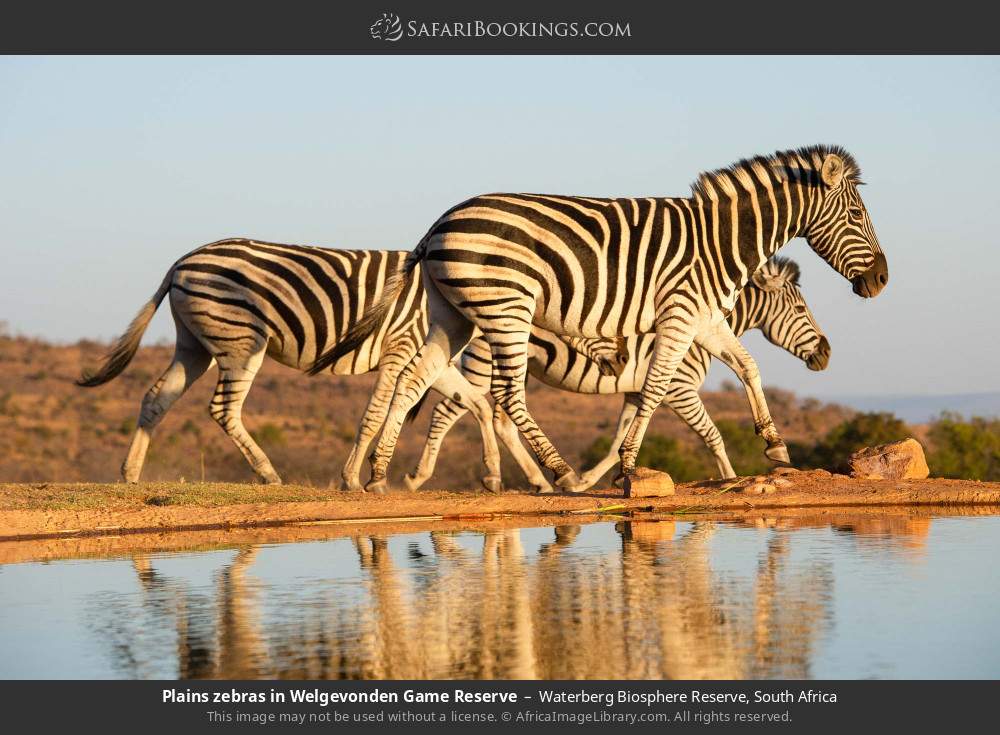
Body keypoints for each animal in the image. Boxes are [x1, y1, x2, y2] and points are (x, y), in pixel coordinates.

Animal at [405, 256, 829, 493]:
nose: (826, 354)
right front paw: (729, 477)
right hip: (483, 360)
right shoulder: (679, 388)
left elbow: (617, 443)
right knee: (448, 411)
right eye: (800, 309)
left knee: (502, 419)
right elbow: (712, 433)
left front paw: (596, 480)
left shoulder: (636, 392)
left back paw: (540, 481)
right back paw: (419, 477)